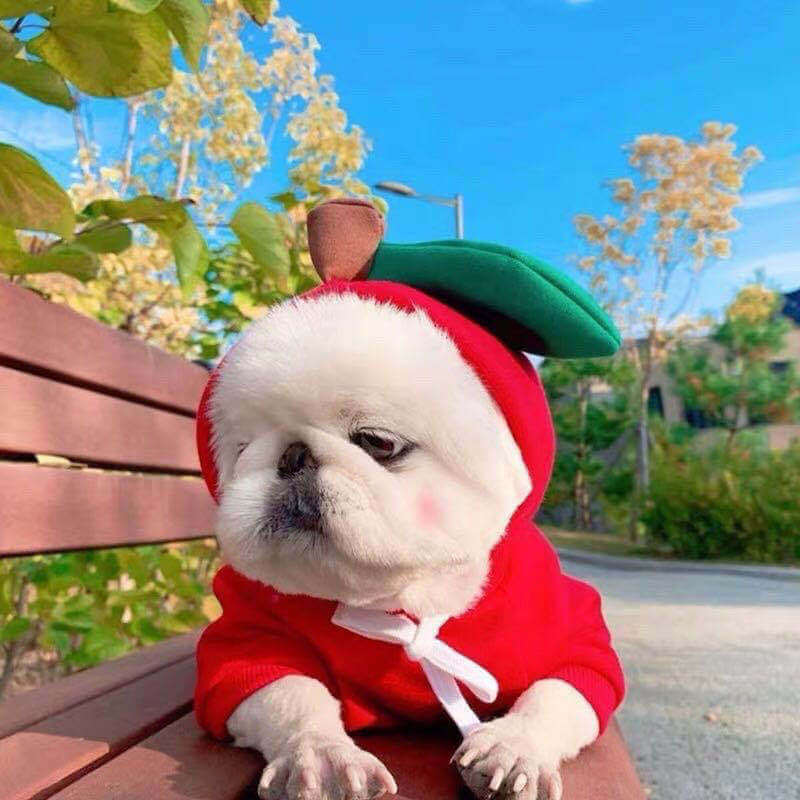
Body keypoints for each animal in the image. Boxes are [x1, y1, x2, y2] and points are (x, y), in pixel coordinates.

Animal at [194, 276, 624, 800]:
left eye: (378, 442)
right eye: (241, 450)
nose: (292, 454)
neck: (404, 596)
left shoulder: (575, 637)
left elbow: (553, 696)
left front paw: (514, 746)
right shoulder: (248, 639)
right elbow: (292, 695)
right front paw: (321, 755)